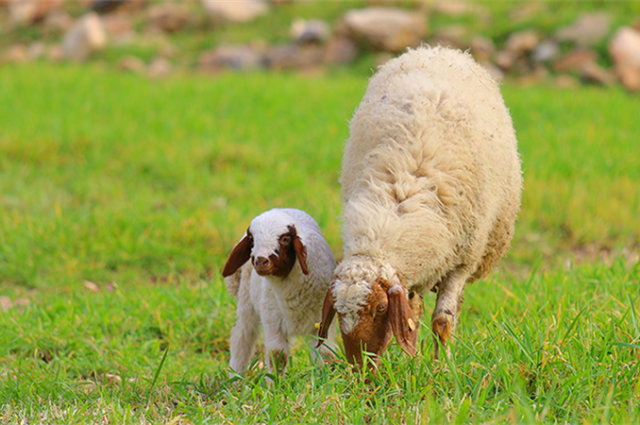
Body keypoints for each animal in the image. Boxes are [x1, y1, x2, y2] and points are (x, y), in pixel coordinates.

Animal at [222, 208, 338, 374]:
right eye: (252, 239)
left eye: (285, 239)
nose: (261, 261)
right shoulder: (272, 320)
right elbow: (277, 355)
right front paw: (275, 381)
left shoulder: (325, 321)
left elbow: (325, 354)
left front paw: (325, 377)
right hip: (247, 301)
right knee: (242, 337)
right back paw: (235, 376)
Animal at [318, 45, 524, 364]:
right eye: (338, 312)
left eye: (380, 308)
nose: (361, 368)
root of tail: (439, 49)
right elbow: (410, 318)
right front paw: (409, 364)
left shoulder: (463, 259)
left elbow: (442, 321)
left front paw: (443, 367)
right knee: (414, 310)